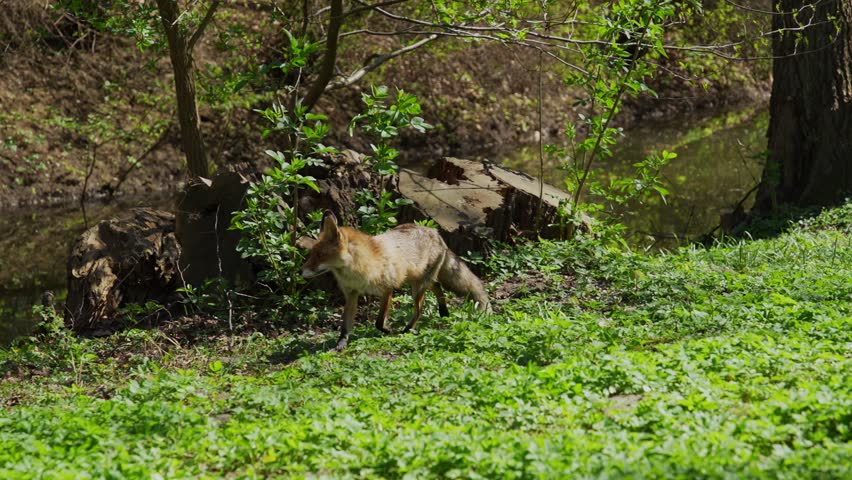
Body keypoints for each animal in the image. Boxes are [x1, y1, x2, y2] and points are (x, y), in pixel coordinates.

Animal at [301, 211, 491, 350]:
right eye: (312, 254)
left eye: (320, 255)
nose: (302, 272)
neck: (358, 271)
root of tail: (435, 232)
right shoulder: (351, 294)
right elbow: (345, 326)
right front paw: (341, 344)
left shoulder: (387, 289)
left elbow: (378, 321)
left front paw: (387, 330)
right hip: (418, 280)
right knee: (437, 286)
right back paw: (443, 312)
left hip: (417, 288)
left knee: (420, 309)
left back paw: (408, 329)